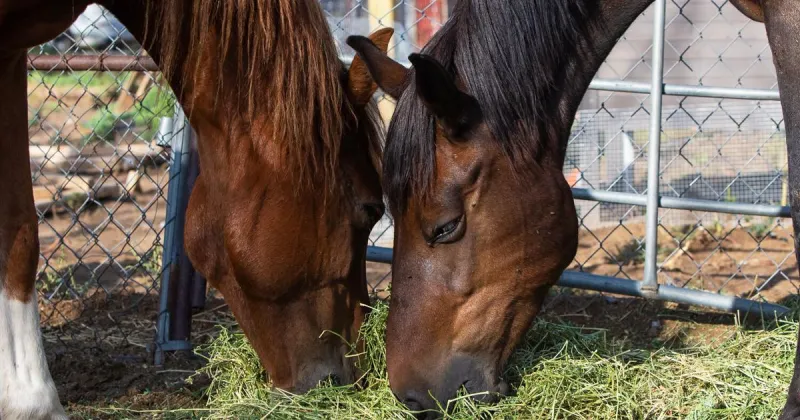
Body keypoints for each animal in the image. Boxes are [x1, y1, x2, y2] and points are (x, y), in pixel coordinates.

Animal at [0, 1, 391, 418]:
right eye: (372, 209)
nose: (357, 375)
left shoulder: (11, 52)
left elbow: (15, 232)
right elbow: (22, 241)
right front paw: (34, 404)